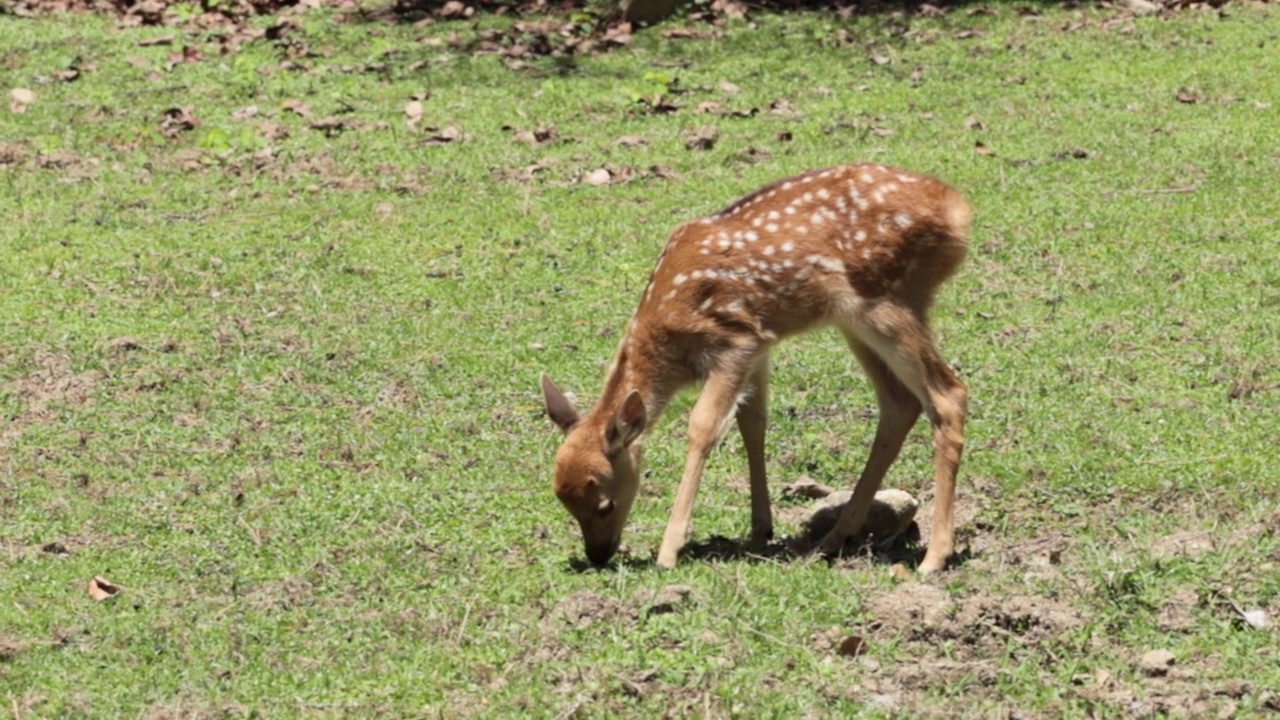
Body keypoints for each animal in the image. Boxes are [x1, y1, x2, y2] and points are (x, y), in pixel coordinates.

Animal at [540, 162, 967, 571]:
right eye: (563, 501)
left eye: (605, 504)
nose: (597, 555)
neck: (669, 343)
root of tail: (957, 210)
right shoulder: (759, 345)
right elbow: (753, 424)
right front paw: (760, 530)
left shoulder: (733, 341)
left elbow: (703, 427)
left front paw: (669, 550)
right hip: (856, 320)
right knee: (900, 404)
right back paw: (834, 540)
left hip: (889, 301)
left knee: (949, 394)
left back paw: (934, 557)